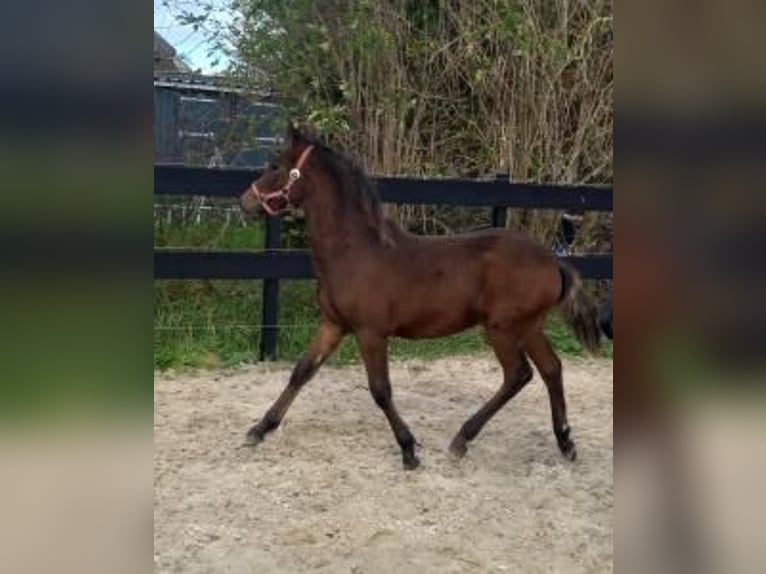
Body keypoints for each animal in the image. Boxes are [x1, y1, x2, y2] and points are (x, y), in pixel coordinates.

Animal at [239, 124, 602, 470]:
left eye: (275, 166)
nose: (245, 202)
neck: (354, 252)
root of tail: (553, 261)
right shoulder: (333, 325)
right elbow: (302, 371)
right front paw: (259, 429)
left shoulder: (371, 333)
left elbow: (380, 390)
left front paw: (408, 449)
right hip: (529, 327)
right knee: (552, 368)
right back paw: (565, 442)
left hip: (502, 329)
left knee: (518, 375)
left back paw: (462, 440)